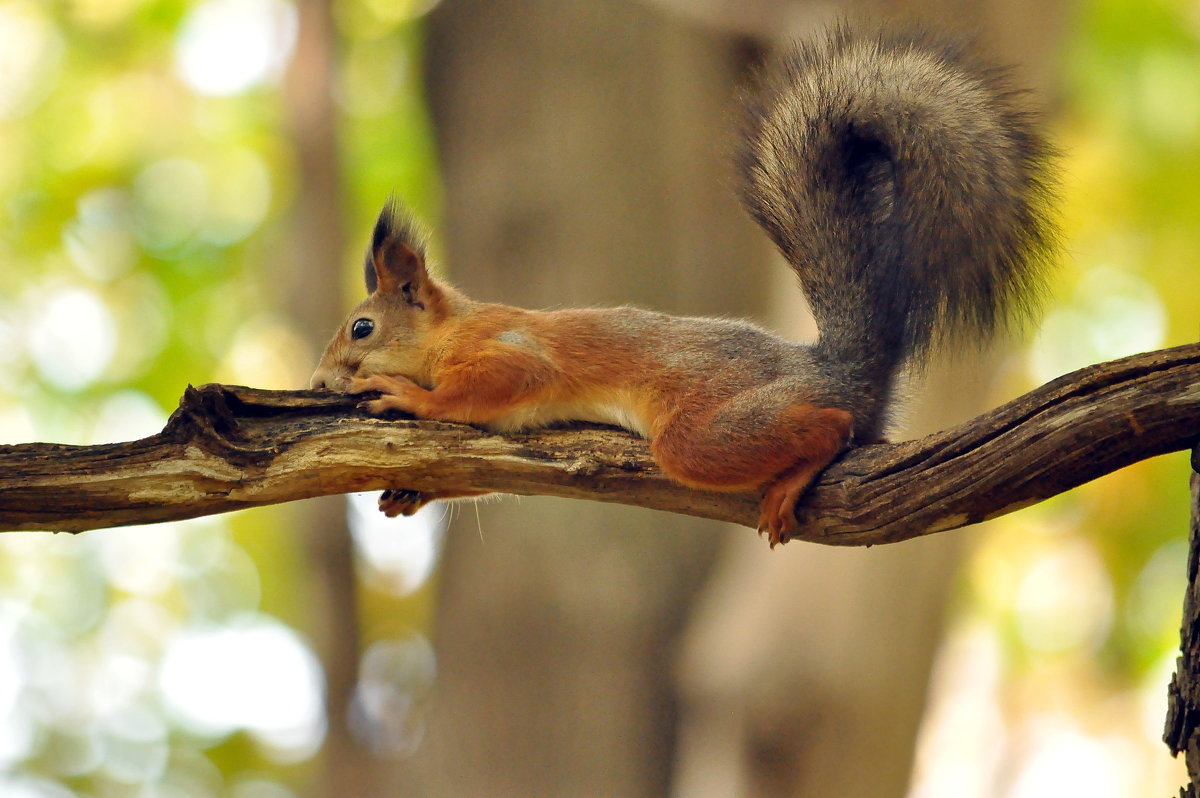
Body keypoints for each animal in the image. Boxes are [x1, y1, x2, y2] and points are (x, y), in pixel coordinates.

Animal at [312, 26, 1060, 547]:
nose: (318, 384)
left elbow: (482, 387)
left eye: (361, 327)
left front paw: (406, 394)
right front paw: (410, 493)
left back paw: (798, 471)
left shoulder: (507, 351)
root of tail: (835, 370)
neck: (448, 328)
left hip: (705, 432)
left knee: (828, 428)